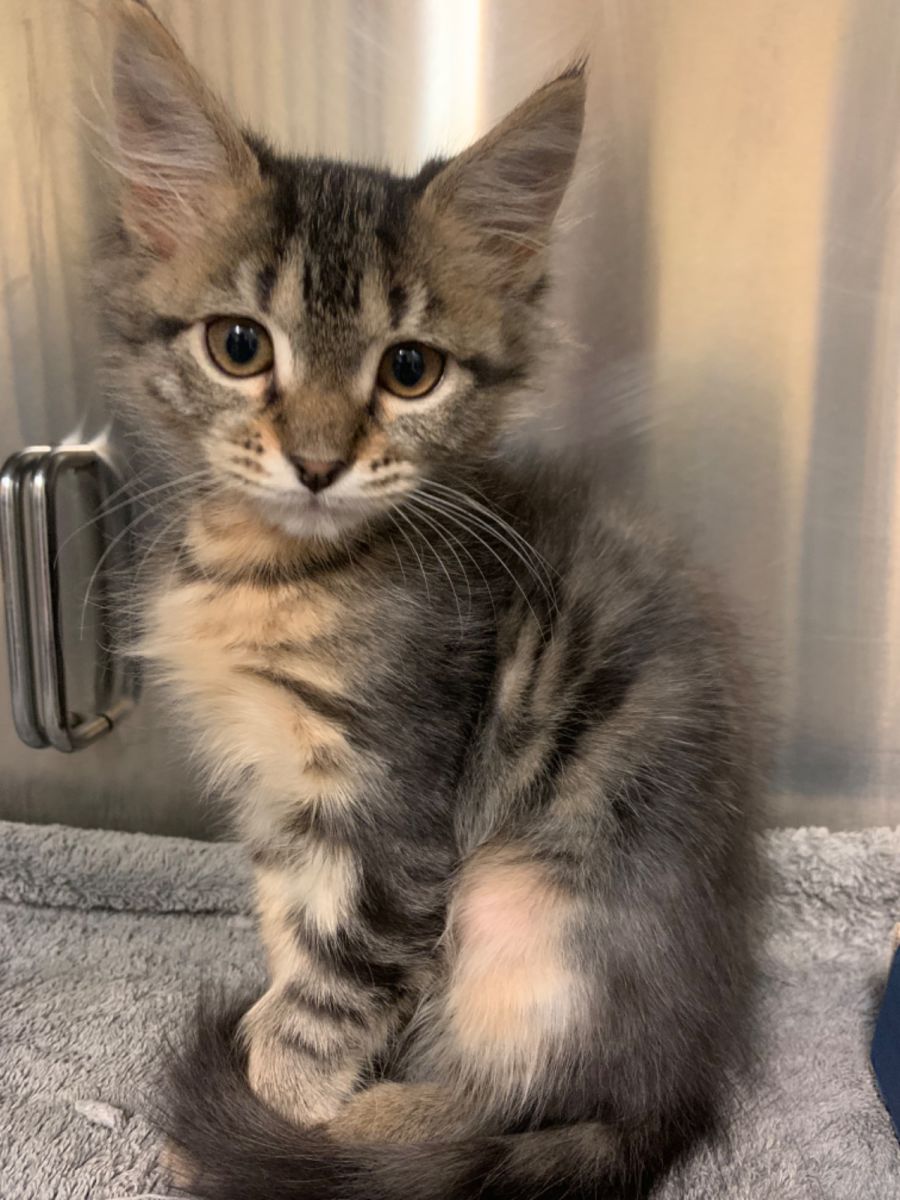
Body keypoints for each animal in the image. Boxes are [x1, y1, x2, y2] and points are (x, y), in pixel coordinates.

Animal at [97, 3, 760, 1198]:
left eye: (410, 370)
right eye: (238, 345)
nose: (317, 463)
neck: (277, 570)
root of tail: (684, 1079)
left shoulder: (396, 813)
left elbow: (336, 987)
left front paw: (279, 1109)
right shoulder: (279, 802)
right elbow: (290, 934)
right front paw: (262, 1044)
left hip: (522, 908)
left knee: (507, 1110)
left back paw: (355, 1138)